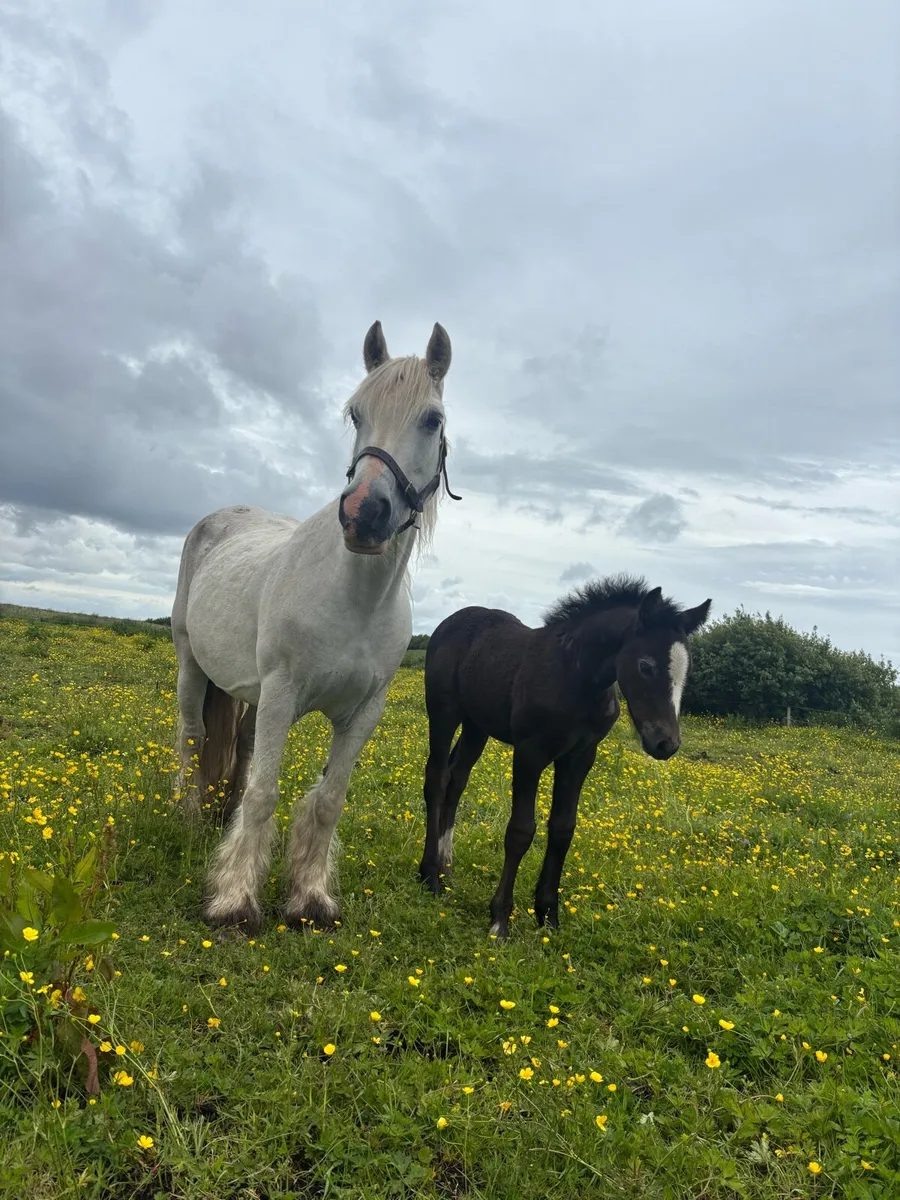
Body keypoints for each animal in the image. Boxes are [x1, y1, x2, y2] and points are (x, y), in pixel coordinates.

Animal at [171, 319, 460, 933]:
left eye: (432, 419)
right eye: (355, 413)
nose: (365, 513)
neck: (355, 599)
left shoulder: (363, 711)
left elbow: (327, 799)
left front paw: (309, 897)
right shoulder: (283, 692)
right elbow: (264, 795)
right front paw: (234, 901)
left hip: (250, 694)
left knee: (240, 751)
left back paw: (220, 816)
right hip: (191, 663)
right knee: (193, 735)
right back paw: (185, 815)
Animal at [418, 576, 711, 938]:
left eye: (688, 671)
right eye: (646, 666)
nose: (666, 743)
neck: (575, 679)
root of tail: (450, 622)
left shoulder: (579, 757)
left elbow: (563, 829)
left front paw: (548, 915)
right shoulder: (530, 752)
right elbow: (520, 830)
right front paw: (500, 919)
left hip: (477, 725)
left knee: (457, 780)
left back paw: (446, 867)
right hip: (444, 711)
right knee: (437, 778)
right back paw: (430, 874)